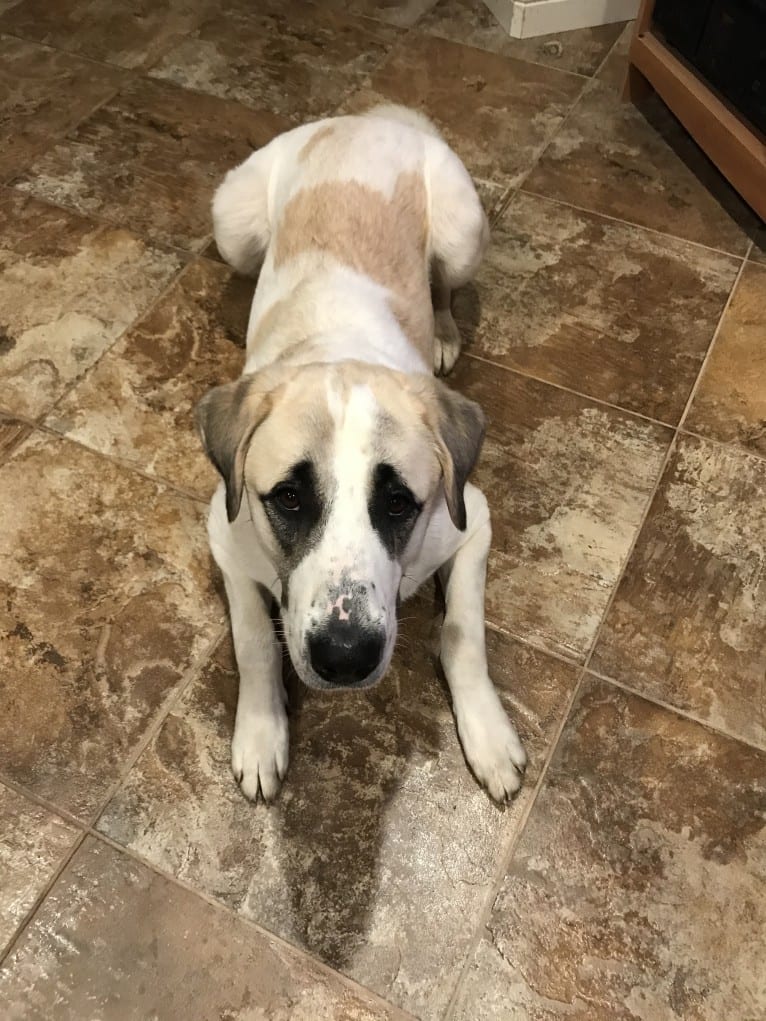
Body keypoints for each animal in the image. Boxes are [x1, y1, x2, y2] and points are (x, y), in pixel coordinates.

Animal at [196, 105, 527, 804]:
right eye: (288, 498)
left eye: (400, 502)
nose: (345, 657)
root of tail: (364, 117)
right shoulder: (224, 532)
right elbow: (253, 640)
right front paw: (261, 733)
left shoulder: (473, 520)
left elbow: (463, 631)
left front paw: (487, 736)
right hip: (231, 220)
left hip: (462, 230)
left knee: (444, 285)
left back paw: (444, 333)